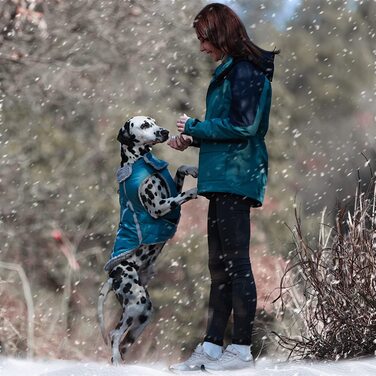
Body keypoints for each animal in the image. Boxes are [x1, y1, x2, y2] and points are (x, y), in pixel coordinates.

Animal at [97, 115, 197, 364]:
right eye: (143, 125)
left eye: (154, 121)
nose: (164, 132)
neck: (139, 161)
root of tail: (112, 277)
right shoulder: (160, 206)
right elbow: (183, 195)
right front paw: (198, 188)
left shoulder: (170, 194)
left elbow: (180, 171)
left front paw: (192, 169)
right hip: (137, 301)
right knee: (114, 335)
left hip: (143, 313)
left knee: (125, 342)